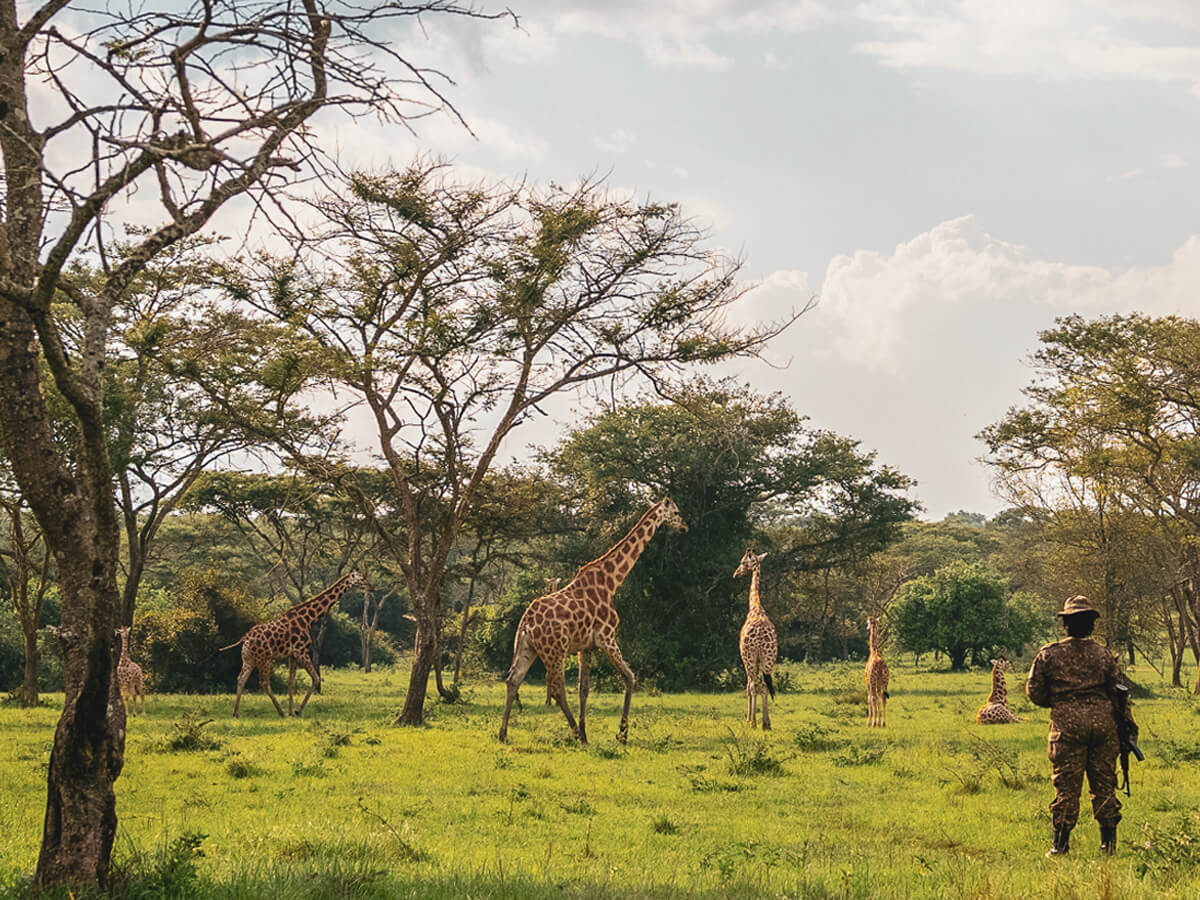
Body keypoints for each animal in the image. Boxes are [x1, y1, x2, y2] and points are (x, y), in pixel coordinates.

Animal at [227, 571, 367, 718]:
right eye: (362, 579)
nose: (371, 588)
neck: (308, 618)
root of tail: (245, 638)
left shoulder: (292, 655)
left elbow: (291, 683)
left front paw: (291, 712)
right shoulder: (301, 651)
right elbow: (316, 679)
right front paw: (297, 711)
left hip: (249, 659)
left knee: (241, 679)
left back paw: (236, 713)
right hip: (265, 659)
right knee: (264, 683)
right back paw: (280, 712)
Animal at [499, 497, 688, 745]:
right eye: (676, 512)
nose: (685, 526)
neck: (611, 582)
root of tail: (526, 622)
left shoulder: (586, 647)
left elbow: (584, 689)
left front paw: (589, 729)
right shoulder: (607, 638)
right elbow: (630, 678)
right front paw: (621, 734)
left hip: (528, 648)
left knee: (514, 680)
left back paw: (503, 734)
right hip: (555, 650)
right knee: (556, 688)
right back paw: (577, 735)